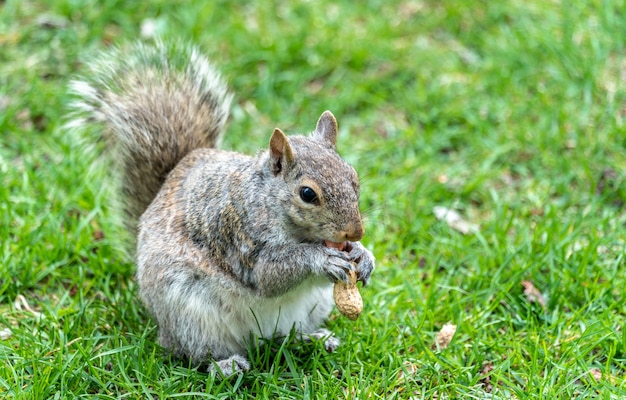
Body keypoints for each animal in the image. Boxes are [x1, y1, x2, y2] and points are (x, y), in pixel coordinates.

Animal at [68, 40, 372, 376]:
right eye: (307, 194)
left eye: (353, 176)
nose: (356, 231)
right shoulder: (238, 234)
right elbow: (269, 275)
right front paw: (321, 259)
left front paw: (363, 255)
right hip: (190, 313)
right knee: (191, 352)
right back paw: (225, 364)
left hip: (311, 306)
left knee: (287, 335)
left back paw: (314, 338)